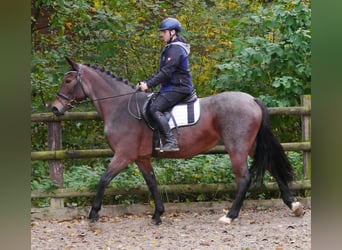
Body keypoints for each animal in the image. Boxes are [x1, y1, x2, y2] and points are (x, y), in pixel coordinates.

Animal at [49, 57, 304, 225]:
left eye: (68, 80)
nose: (54, 108)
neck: (120, 107)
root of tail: (251, 99)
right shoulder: (141, 158)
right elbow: (152, 184)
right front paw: (158, 214)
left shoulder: (123, 155)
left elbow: (103, 180)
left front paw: (93, 214)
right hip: (250, 146)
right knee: (272, 168)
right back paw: (294, 206)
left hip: (237, 147)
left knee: (244, 178)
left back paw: (229, 216)